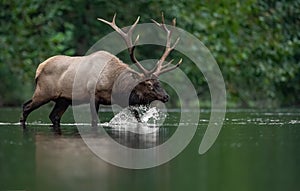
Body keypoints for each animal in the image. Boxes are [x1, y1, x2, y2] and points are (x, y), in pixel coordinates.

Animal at [19, 12, 183, 131]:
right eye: (149, 84)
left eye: (159, 82)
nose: (166, 96)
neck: (114, 84)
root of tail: (38, 69)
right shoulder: (94, 95)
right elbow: (94, 121)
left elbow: (138, 120)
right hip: (44, 92)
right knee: (26, 106)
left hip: (62, 99)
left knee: (54, 116)